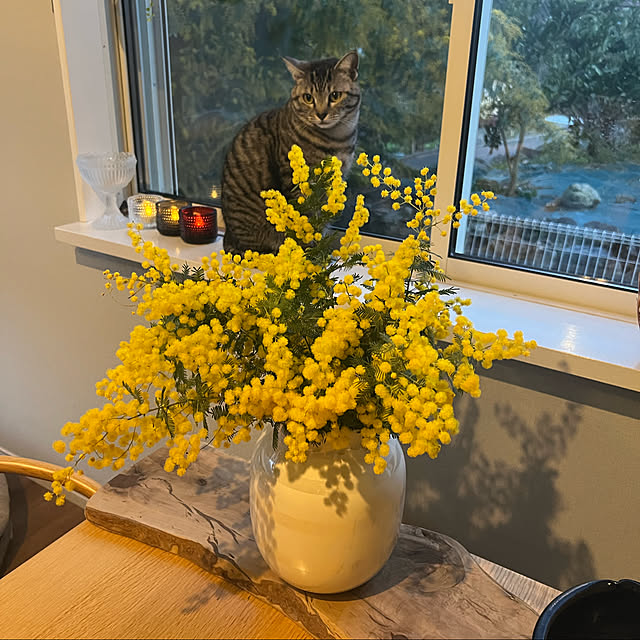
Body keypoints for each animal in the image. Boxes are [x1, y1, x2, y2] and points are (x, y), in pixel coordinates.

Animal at [221, 48, 360, 254]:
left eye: (335, 95)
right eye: (308, 98)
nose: (321, 114)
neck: (337, 139)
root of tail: (228, 237)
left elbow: (321, 219)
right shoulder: (297, 184)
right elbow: (306, 220)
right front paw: (309, 250)